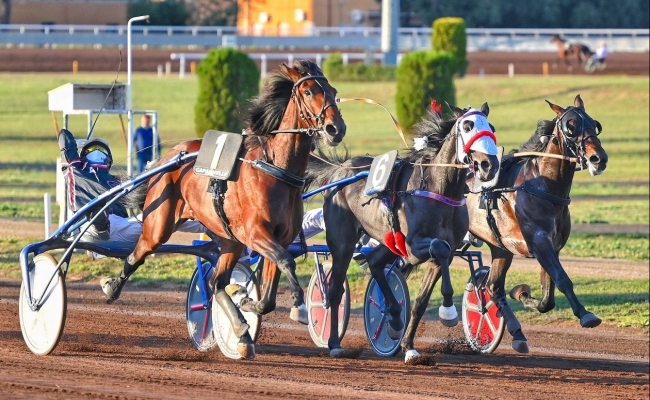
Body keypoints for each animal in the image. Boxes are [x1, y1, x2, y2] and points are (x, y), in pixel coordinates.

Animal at [98, 59, 344, 360]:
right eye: (308, 91)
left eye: (333, 91)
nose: (335, 129)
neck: (276, 169)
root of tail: (170, 157)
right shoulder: (255, 234)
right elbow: (286, 261)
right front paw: (298, 305)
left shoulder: (279, 237)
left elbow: (269, 293)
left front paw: (249, 303)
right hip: (159, 224)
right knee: (139, 253)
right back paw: (111, 287)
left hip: (229, 239)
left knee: (217, 283)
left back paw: (241, 331)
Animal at [306, 101, 498, 364]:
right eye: (468, 126)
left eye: (492, 127)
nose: (490, 165)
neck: (439, 189)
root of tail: (338, 171)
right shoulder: (413, 247)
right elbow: (439, 247)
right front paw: (448, 311)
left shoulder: (437, 255)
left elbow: (422, 300)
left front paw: (409, 347)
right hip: (342, 242)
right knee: (335, 289)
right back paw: (334, 343)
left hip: (388, 242)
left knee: (375, 262)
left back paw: (395, 318)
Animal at [464, 94, 604, 354]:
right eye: (570, 126)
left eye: (595, 124)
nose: (598, 158)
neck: (543, 186)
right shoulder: (539, 242)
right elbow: (562, 279)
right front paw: (586, 315)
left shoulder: (551, 246)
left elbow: (548, 297)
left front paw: (522, 294)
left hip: (500, 247)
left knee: (492, 286)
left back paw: (517, 334)